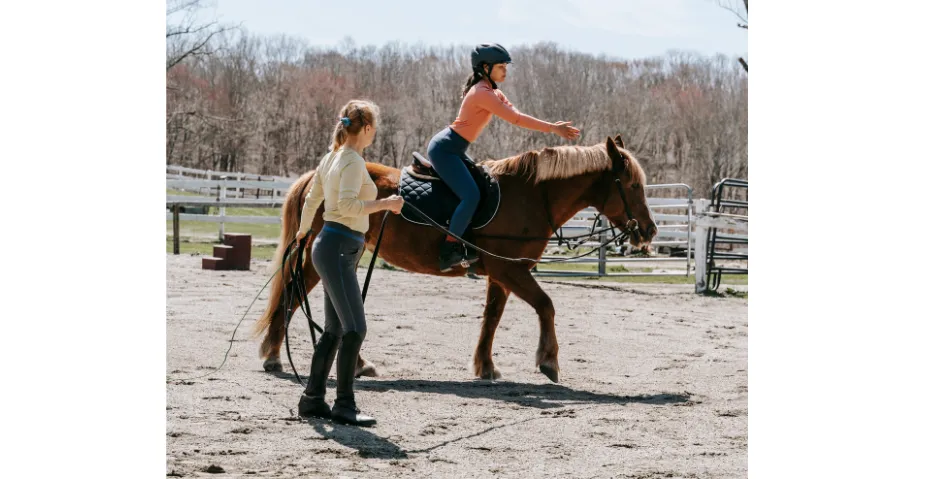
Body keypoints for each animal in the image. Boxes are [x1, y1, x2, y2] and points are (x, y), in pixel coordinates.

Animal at [253, 135, 656, 382]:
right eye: (633, 185)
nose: (649, 231)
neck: (529, 195)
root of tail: (317, 176)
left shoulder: (501, 274)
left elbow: (491, 319)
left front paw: (485, 366)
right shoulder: (510, 269)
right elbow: (546, 305)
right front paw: (548, 360)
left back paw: (357, 363)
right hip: (317, 256)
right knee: (292, 293)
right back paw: (273, 354)